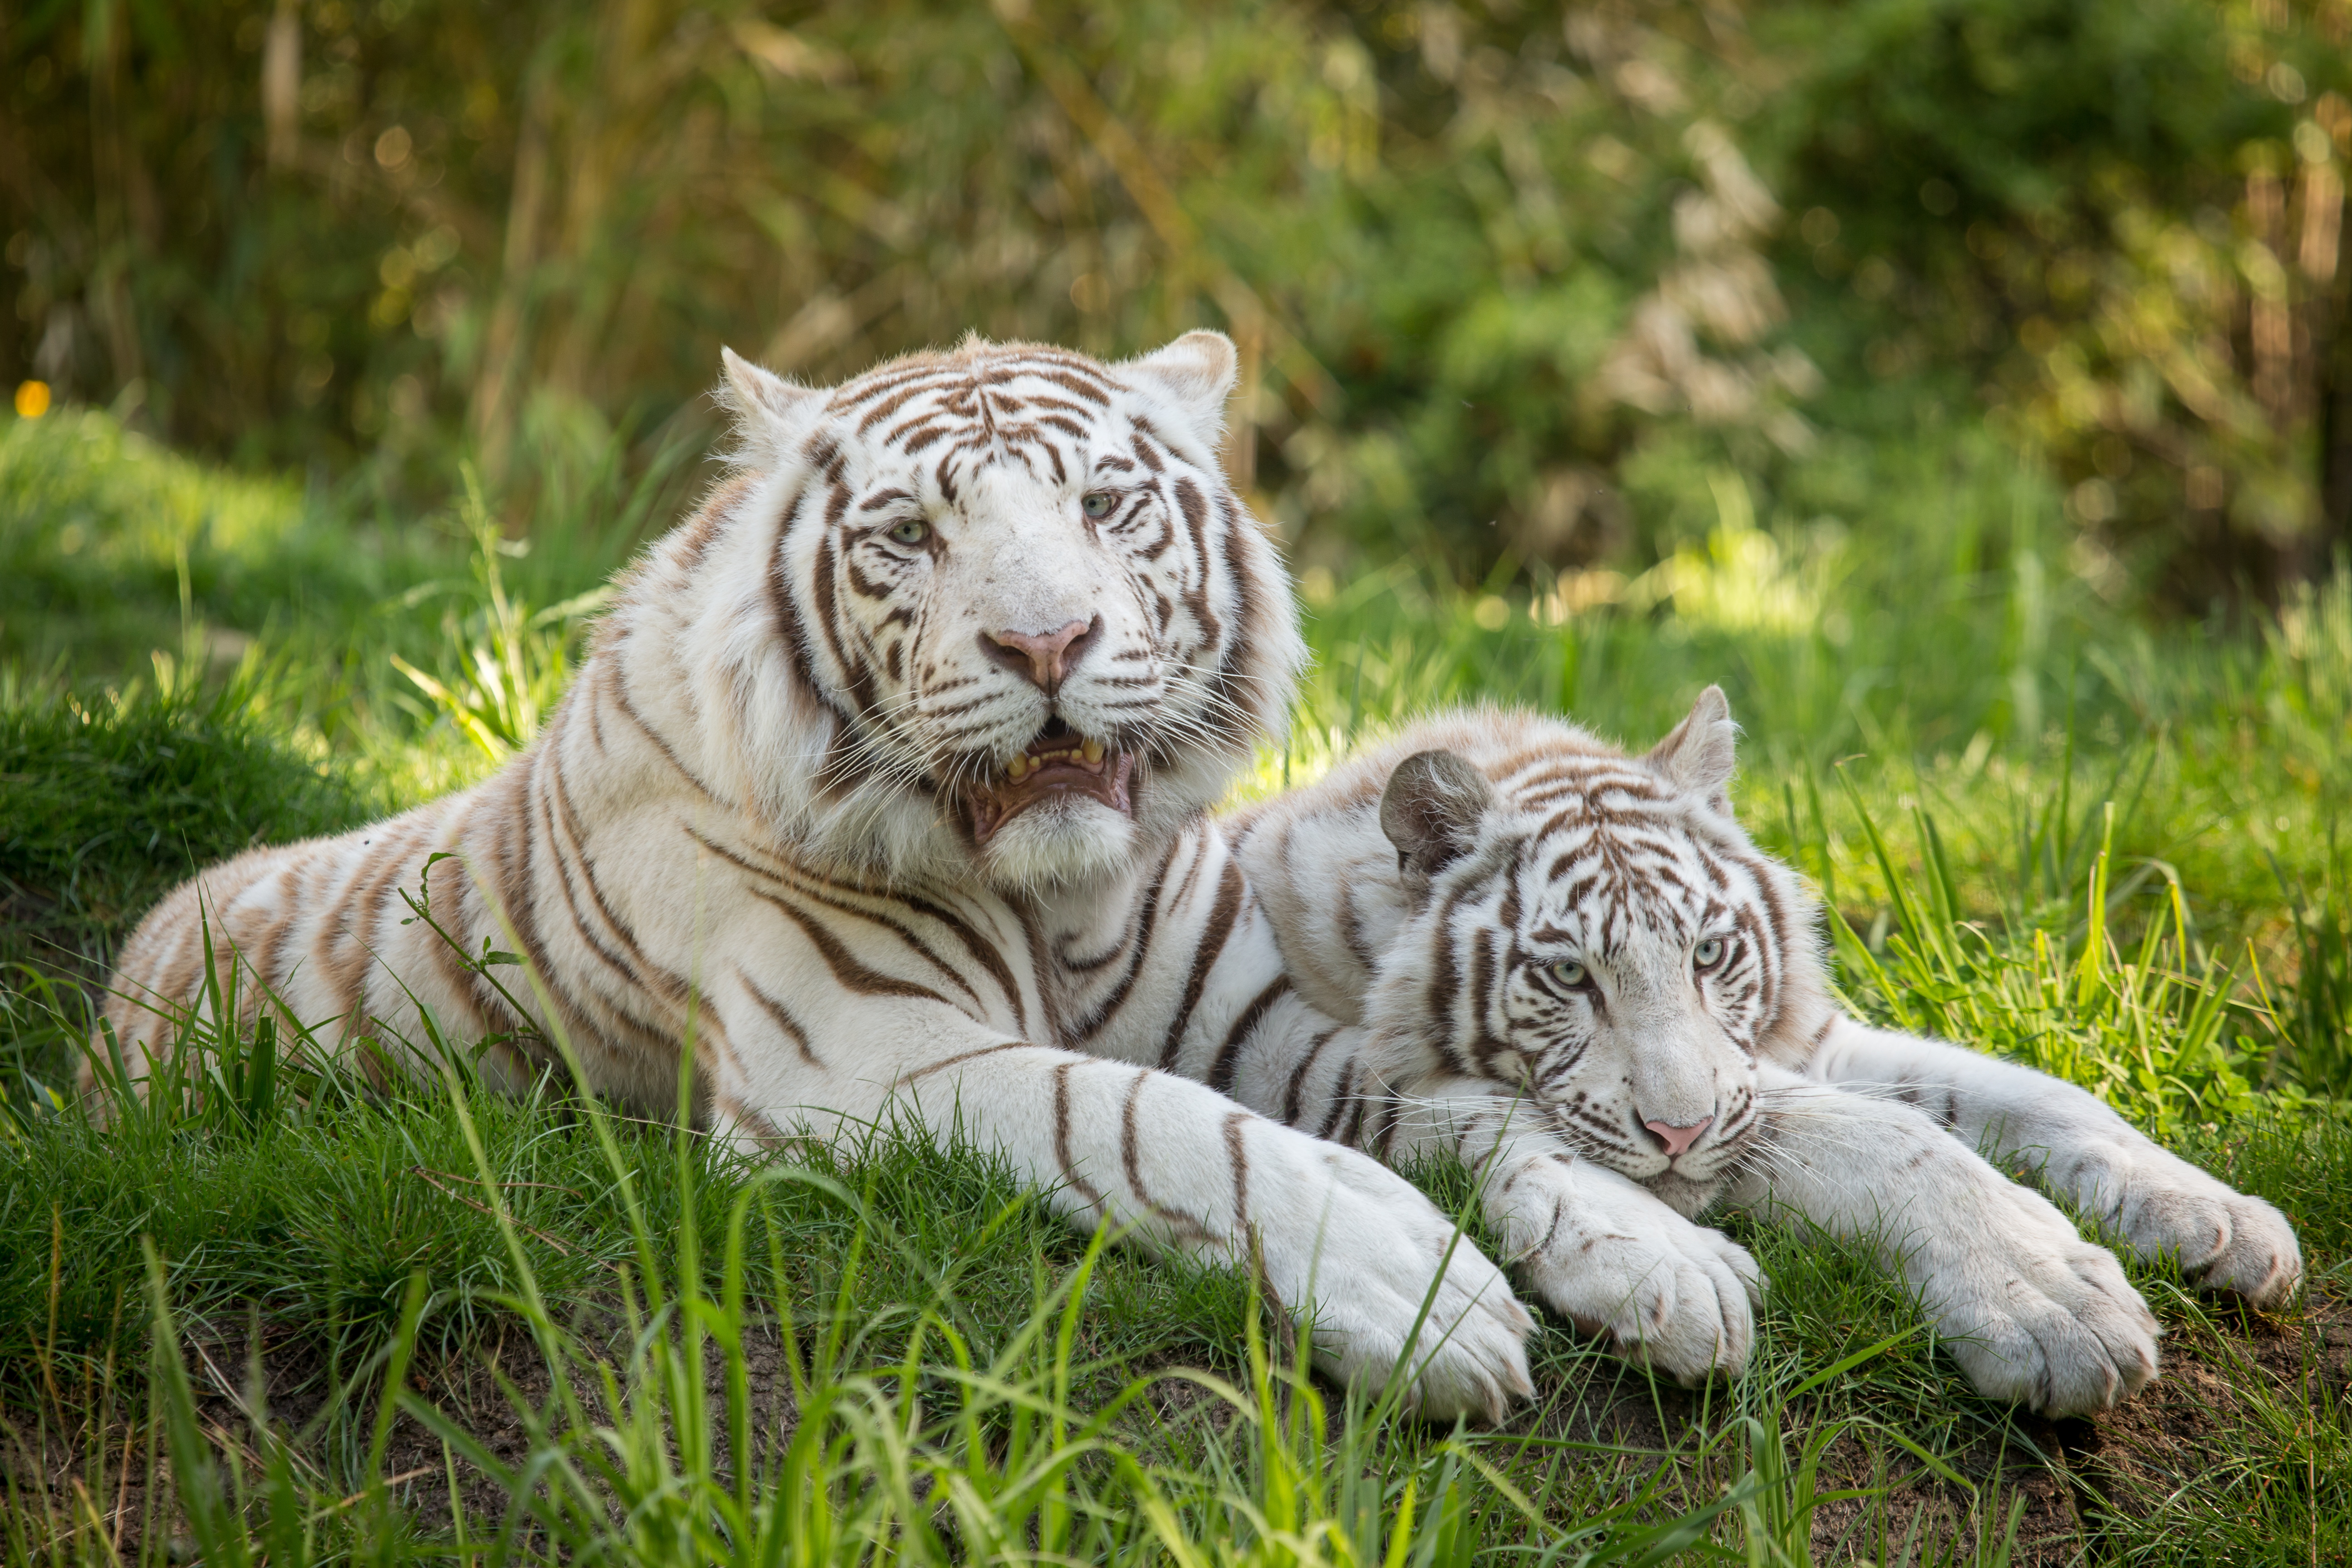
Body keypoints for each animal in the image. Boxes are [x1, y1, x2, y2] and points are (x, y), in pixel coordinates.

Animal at [101, 331, 1533, 1420]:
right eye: (910, 532)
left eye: (1103, 505)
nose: (1047, 640)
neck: (1061, 900)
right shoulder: (854, 1061)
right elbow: (1141, 1118)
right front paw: (1420, 1290)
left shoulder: (1258, 1018)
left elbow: (1473, 1114)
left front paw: (1590, 1246)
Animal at [1223, 701, 2305, 1420]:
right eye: (1569, 974)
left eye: (1708, 953)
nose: (1679, 1132)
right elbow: (1903, 1139)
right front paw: (2051, 1303)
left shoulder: (1805, 1045)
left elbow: (2040, 1096)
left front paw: (2221, 1217)